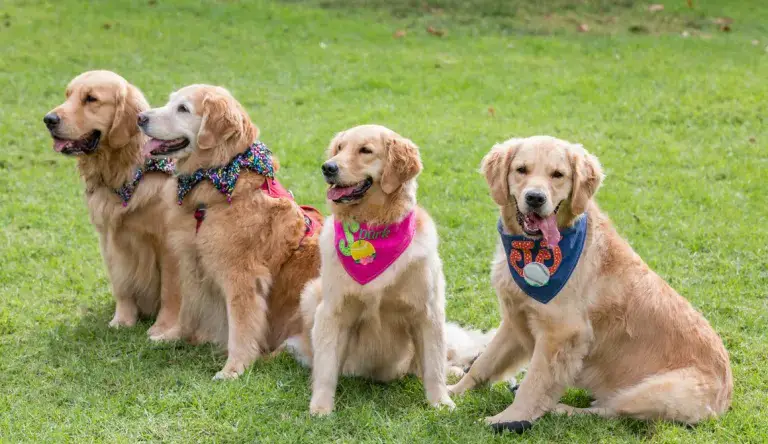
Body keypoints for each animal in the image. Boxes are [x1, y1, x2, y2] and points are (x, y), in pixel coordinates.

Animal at [44, 71, 182, 338]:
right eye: (67, 95)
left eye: (91, 99)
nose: (48, 119)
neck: (123, 176)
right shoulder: (111, 241)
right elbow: (122, 286)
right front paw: (122, 320)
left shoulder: (170, 245)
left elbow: (170, 293)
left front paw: (163, 329)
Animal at [138, 85, 320, 380]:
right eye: (169, 101)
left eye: (183, 109)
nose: (140, 118)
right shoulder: (191, 262)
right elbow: (187, 309)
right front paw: (173, 336)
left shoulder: (241, 277)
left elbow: (241, 328)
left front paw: (234, 369)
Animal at [450, 136, 732, 434]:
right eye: (521, 170)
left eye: (558, 175)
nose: (535, 198)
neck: (533, 249)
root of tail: (725, 400)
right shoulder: (516, 319)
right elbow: (484, 363)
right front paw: (452, 393)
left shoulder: (562, 333)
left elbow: (533, 384)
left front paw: (509, 418)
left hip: (655, 392)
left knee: (609, 411)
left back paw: (563, 410)